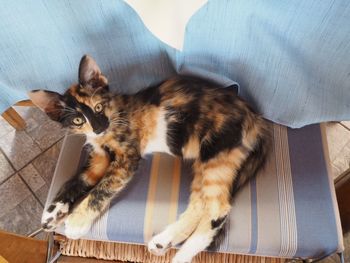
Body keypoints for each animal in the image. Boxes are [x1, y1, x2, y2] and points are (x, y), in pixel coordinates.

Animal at [29, 54, 270, 262]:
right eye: (78, 120)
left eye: (98, 107)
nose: (99, 127)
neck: (113, 117)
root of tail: (256, 117)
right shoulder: (98, 160)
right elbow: (76, 181)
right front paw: (51, 214)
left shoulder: (127, 158)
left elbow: (101, 190)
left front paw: (77, 222)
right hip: (206, 162)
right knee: (200, 204)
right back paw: (163, 242)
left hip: (216, 155)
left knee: (219, 209)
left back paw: (181, 256)